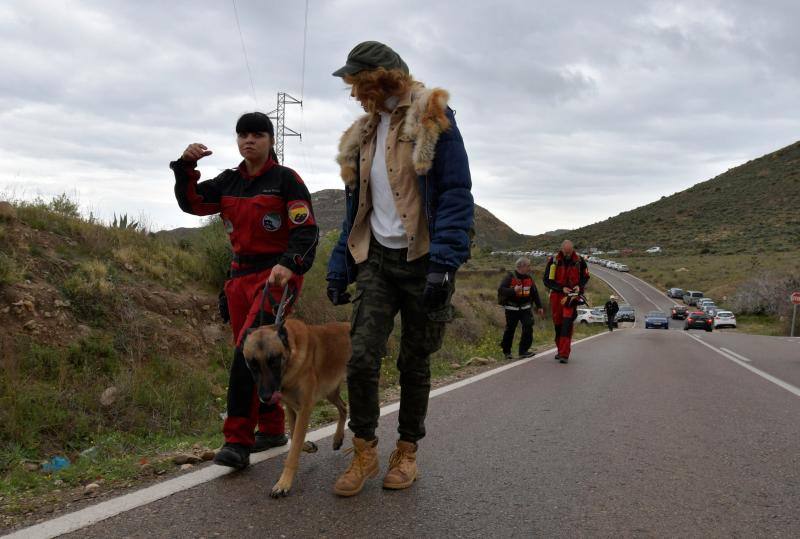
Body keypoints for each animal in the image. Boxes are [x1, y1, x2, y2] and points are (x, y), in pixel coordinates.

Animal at [244, 318, 350, 500]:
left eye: (274, 361)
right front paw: (307, 446)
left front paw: (284, 483)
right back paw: (337, 438)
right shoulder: (291, 408)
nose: (265, 397)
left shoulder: (304, 409)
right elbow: (294, 435)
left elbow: (293, 450)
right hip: (330, 391)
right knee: (343, 408)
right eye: (252, 364)